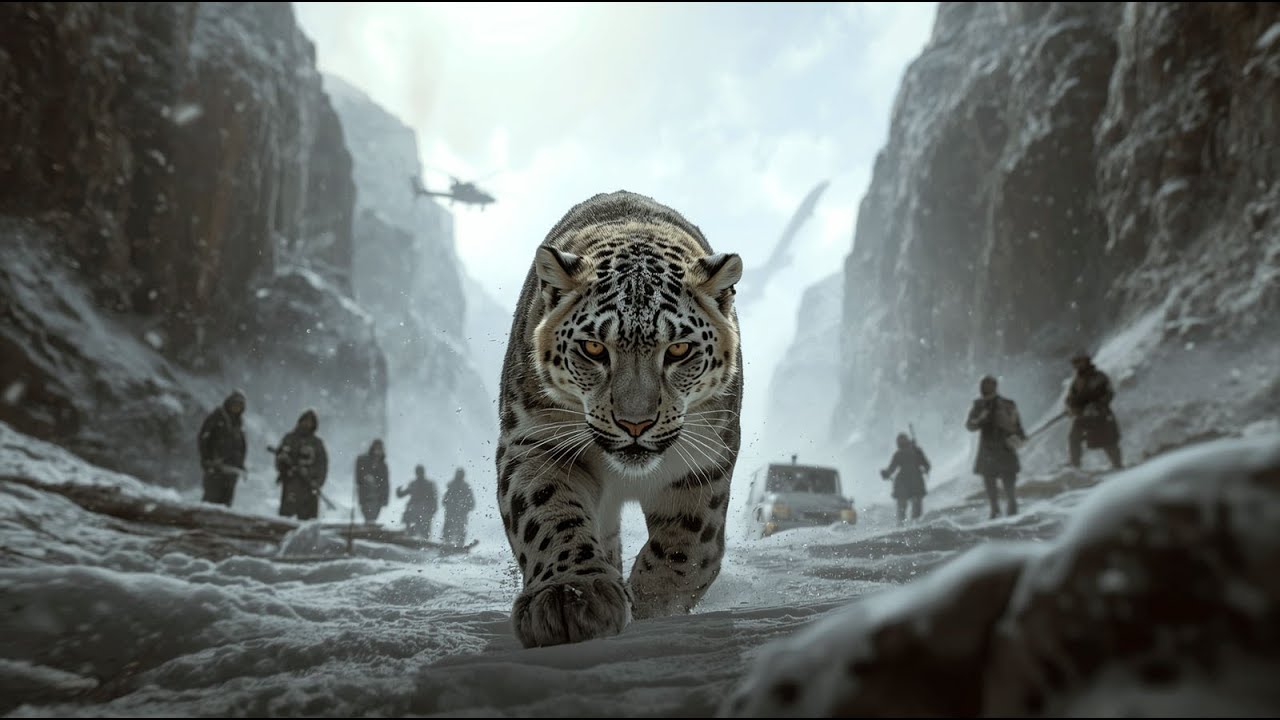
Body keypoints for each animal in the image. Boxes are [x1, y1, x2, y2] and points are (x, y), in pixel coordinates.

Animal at [495, 190, 743, 648]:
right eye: (594, 348)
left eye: (679, 349)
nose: (635, 424)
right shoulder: (536, 441)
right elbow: (546, 511)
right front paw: (570, 597)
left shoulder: (703, 458)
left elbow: (690, 547)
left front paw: (650, 607)